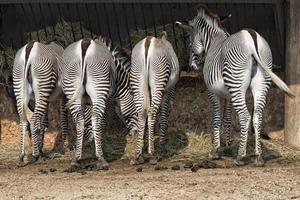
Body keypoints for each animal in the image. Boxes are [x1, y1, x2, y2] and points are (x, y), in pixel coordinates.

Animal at [60, 38, 116, 170]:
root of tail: (85, 42)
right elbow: (101, 123)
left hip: (72, 88)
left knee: (79, 120)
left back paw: (76, 159)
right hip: (99, 89)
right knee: (96, 119)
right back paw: (101, 159)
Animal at [129, 32, 180, 164]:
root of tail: (148, 41)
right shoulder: (168, 91)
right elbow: (163, 115)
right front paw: (162, 145)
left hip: (137, 80)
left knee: (141, 112)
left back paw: (137, 154)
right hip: (159, 79)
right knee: (152, 112)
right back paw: (152, 153)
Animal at [177, 5, 294, 167]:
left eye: (189, 41)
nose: (192, 66)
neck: (213, 42)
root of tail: (251, 37)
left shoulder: (213, 92)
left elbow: (217, 117)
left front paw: (216, 150)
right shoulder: (228, 95)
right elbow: (227, 118)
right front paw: (228, 145)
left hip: (236, 85)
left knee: (245, 116)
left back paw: (240, 156)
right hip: (260, 84)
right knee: (257, 116)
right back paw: (258, 156)